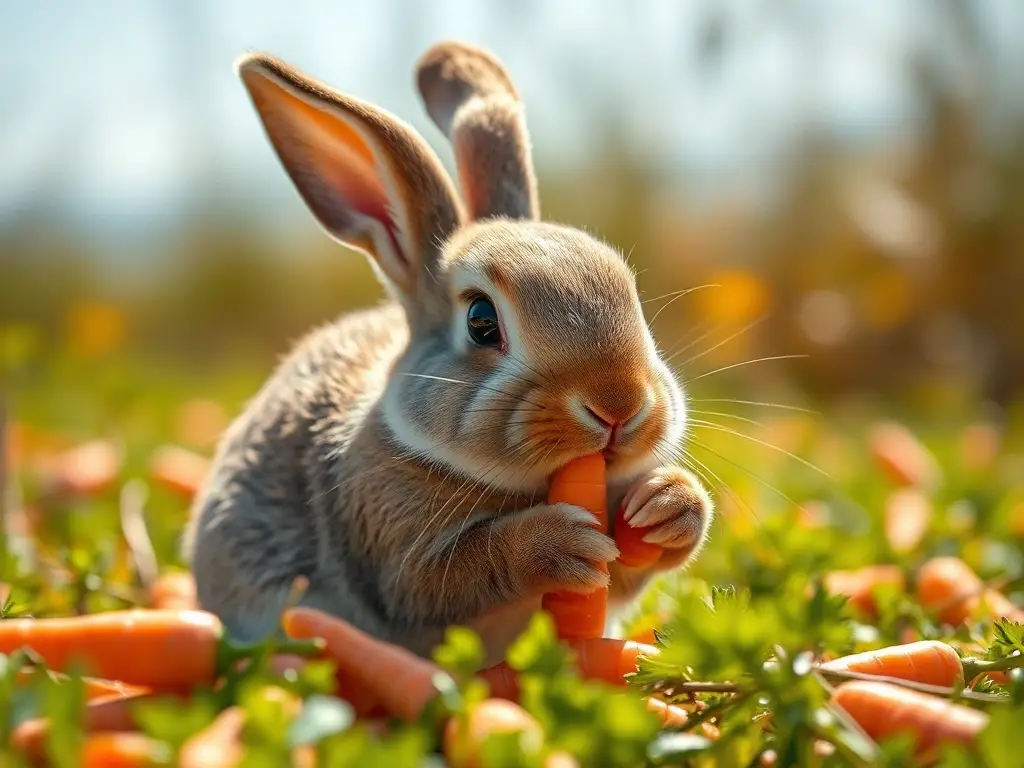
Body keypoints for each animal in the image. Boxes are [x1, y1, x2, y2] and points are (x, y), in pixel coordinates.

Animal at [182, 40, 714, 666]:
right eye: (481, 322)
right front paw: (556, 542)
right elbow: (445, 575)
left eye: (633, 297)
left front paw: (671, 506)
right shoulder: (385, 538)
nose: (619, 405)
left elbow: (633, 566)